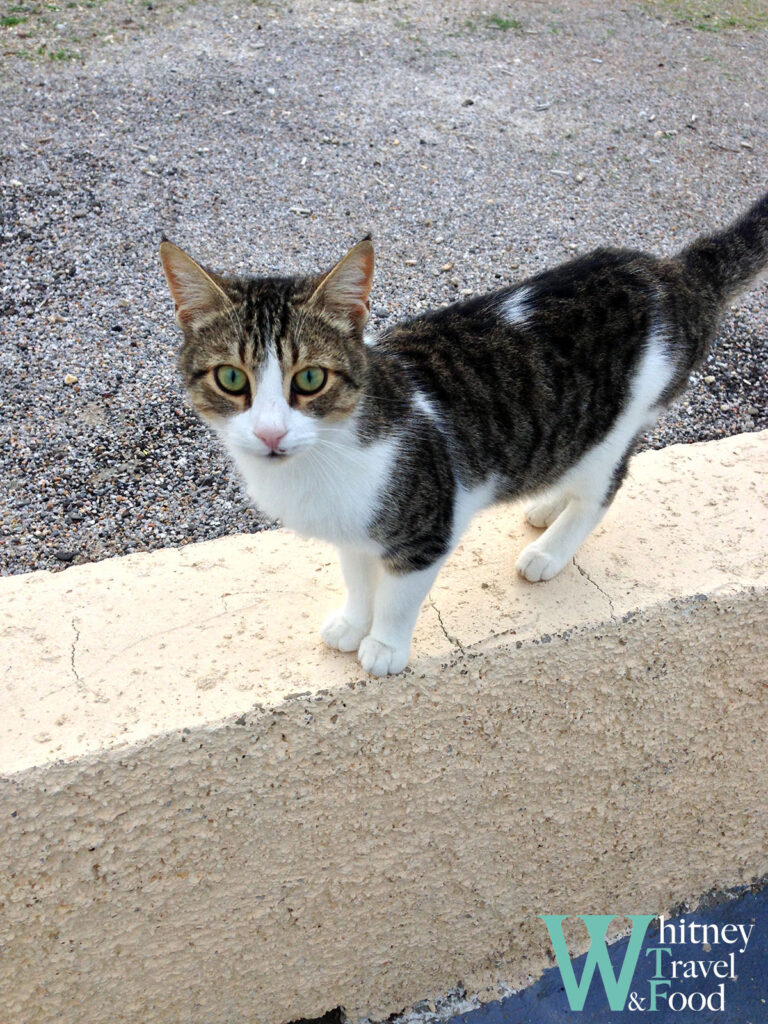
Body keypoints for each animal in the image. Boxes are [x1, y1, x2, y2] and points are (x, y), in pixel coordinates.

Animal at [157, 192, 768, 675]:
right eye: (231, 378)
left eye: (309, 379)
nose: (269, 433)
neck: (326, 457)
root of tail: (672, 275)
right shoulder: (353, 527)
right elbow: (357, 575)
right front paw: (353, 622)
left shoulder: (429, 526)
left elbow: (398, 596)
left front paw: (383, 646)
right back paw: (547, 505)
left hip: (621, 417)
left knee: (603, 488)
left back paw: (549, 550)